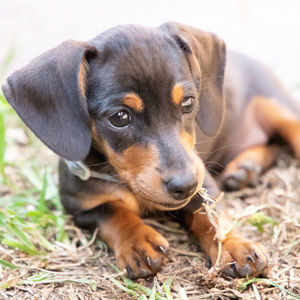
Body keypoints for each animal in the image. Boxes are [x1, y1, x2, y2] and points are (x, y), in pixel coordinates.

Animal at [3, 22, 298, 280]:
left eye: (188, 103)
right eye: (119, 117)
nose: (185, 185)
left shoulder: (205, 183)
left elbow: (210, 215)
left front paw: (232, 244)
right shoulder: (79, 205)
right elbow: (112, 211)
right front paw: (138, 241)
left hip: (280, 110)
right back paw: (245, 169)